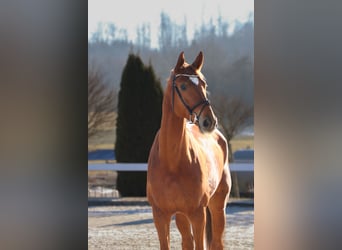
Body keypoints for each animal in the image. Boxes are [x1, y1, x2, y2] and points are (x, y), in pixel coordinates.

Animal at [147, 51, 232, 249]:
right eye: (183, 86)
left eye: (204, 84)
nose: (209, 121)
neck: (171, 162)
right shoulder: (160, 215)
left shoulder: (197, 214)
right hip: (181, 215)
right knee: (187, 241)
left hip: (217, 206)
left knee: (217, 242)